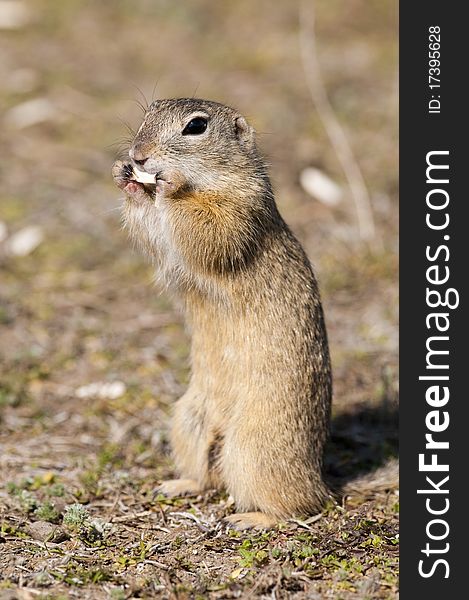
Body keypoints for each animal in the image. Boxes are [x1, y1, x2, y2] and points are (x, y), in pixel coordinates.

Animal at [111, 98, 330, 528]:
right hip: (188, 421)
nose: (138, 155)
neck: (208, 179)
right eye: (149, 112)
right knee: (208, 477)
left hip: (255, 449)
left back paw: (251, 519)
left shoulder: (240, 206)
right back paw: (177, 485)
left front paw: (168, 184)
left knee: (301, 505)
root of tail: (321, 477)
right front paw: (124, 176)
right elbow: (152, 227)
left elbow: (209, 227)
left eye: (196, 126)